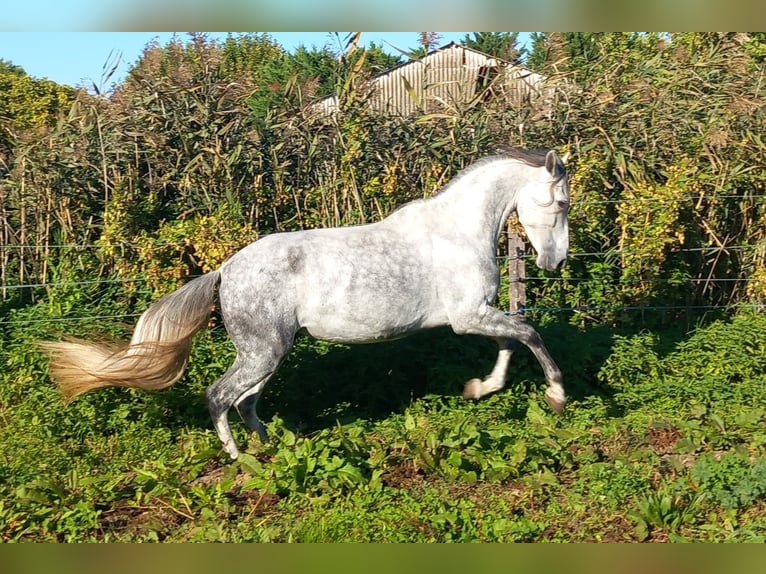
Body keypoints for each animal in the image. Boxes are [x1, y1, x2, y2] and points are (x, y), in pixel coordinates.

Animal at [41, 147, 571, 460]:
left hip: (271, 352)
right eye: (562, 203)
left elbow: (510, 342)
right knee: (220, 396)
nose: (556, 261)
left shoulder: (478, 315)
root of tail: (224, 272)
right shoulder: (467, 317)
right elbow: (529, 334)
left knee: (246, 401)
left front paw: (479, 389)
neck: (458, 231)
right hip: (262, 353)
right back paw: (239, 460)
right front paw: (556, 396)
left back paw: (273, 447)